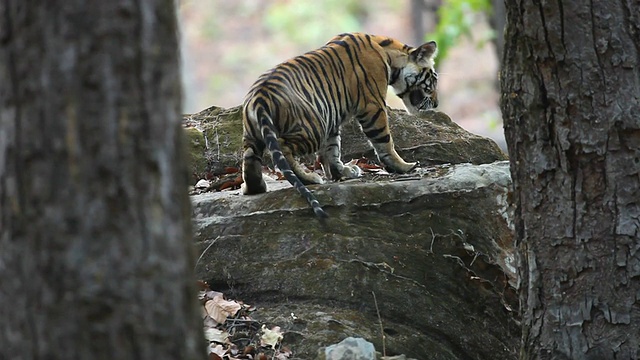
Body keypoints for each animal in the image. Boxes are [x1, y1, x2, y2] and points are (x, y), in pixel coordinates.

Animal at [241, 32, 440, 218]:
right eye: (433, 82)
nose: (437, 104)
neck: (389, 53)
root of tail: (259, 97)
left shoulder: (332, 120)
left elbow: (332, 149)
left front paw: (342, 172)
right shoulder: (373, 106)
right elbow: (385, 141)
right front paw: (404, 166)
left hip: (253, 136)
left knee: (250, 158)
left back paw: (255, 188)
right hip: (313, 128)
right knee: (283, 148)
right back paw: (309, 178)